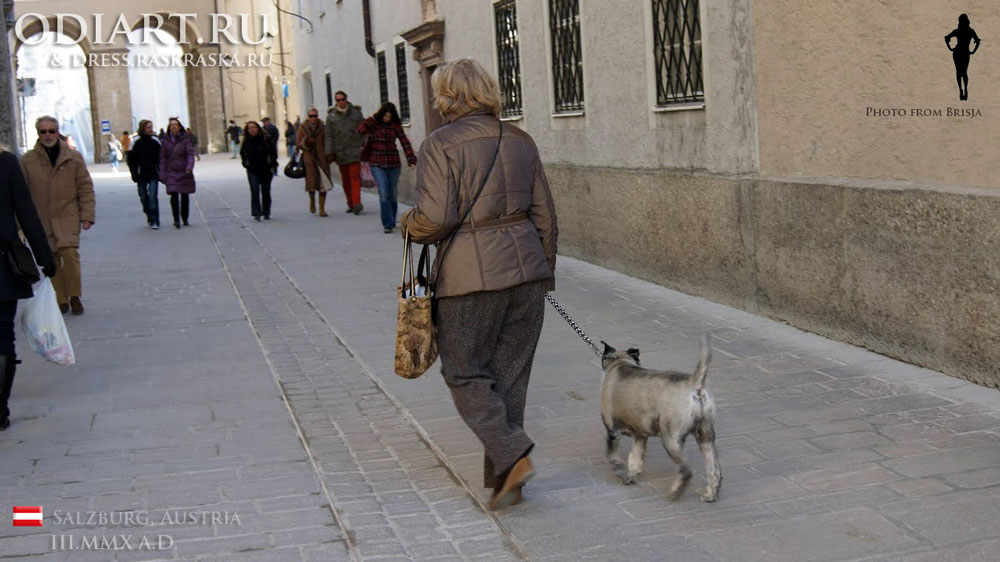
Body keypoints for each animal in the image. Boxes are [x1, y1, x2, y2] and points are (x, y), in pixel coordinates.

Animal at [600, 332, 720, 498]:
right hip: (706, 437)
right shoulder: (640, 436)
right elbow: (635, 459)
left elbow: (613, 458)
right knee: (714, 469)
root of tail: (694, 384)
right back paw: (710, 494)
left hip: (670, 439)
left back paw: (675, 492)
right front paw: (630, 477)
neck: (620, 362)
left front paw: (620, 472)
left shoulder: (612, 431)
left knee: (686, 470)